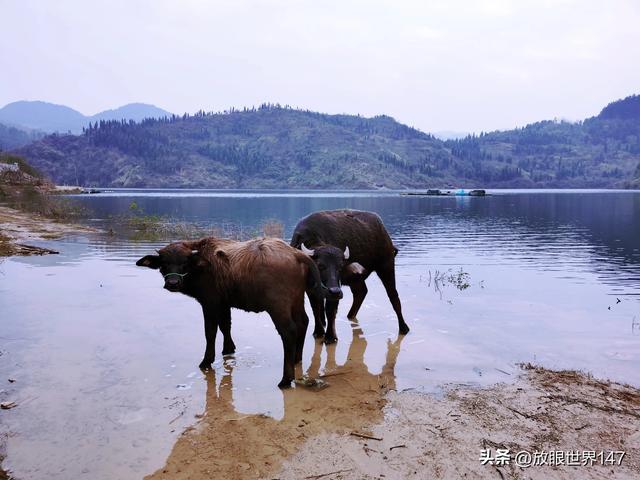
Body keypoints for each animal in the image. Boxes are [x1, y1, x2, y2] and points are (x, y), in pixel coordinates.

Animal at [137, 237, 322, 390]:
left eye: (184, 262)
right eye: (164, 263)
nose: (173, 283)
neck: (203, 267)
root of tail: (295, 253)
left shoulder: (209, 303)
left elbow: (210, 332)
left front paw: (206, 360)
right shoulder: (224, 304)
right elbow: (226, 325)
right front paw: (228, 349)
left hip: (278, 306)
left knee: (289, 331)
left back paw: (285, 379)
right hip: (297, 299)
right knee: (303, 322)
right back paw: (297, 358)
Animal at [292, 208, 410, 344]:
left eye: (340, 266)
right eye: (320, 265)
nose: (335, 291)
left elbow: (330, 310)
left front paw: (330, 337)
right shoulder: (309, 289)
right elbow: (316, 308)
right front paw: (319, 332)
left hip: (386, 266)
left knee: (394, 296)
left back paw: (403, 327)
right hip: (356, 279)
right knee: (361, 292)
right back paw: (350, 315)